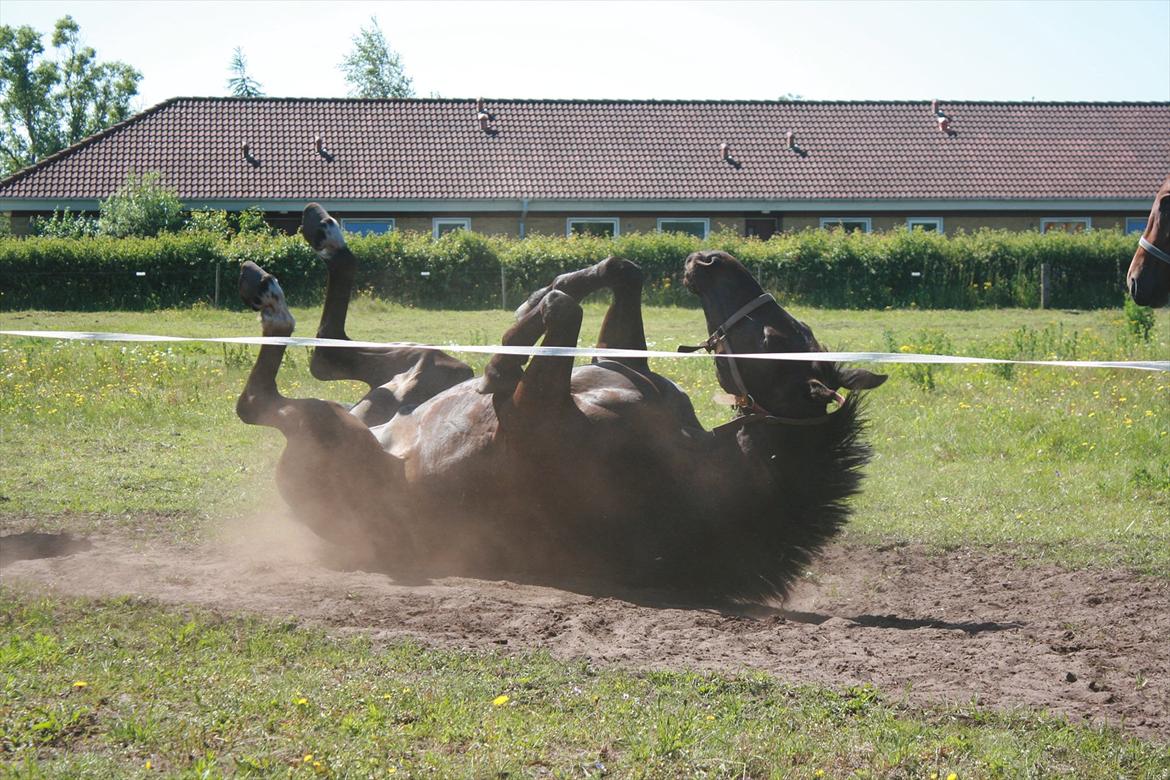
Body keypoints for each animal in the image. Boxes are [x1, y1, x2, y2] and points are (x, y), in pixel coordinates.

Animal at [232, 204, 879, 603]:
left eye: (773, 337)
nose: (710, 259)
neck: (698, 457)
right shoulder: (622, 366)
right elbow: (619, 273)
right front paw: (556, 287)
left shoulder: (535, 416)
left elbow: (559, 316)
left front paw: (510, 348)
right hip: (430, 368)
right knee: (328, 353)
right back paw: (319, 237)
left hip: (330, 431)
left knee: (262, 399)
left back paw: (276, 297)